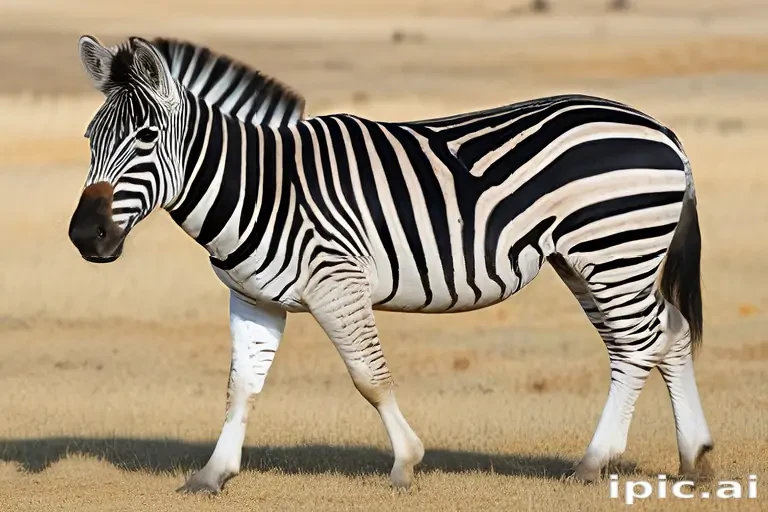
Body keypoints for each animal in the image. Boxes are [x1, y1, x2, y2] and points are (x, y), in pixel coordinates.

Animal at [68, 35, 714, 493]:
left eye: (146, 137)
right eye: (90, 136)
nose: (83, 236)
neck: (264, 185)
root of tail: (659, 128)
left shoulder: (337, 282)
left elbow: (369, 377)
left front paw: (406, 462)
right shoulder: (253, 297)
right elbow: (242, 387)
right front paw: (213, 474)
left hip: (614, 248)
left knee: (637, 343)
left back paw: (594, 462)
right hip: (591, 260)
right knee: (668, 333)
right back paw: (694, 459)